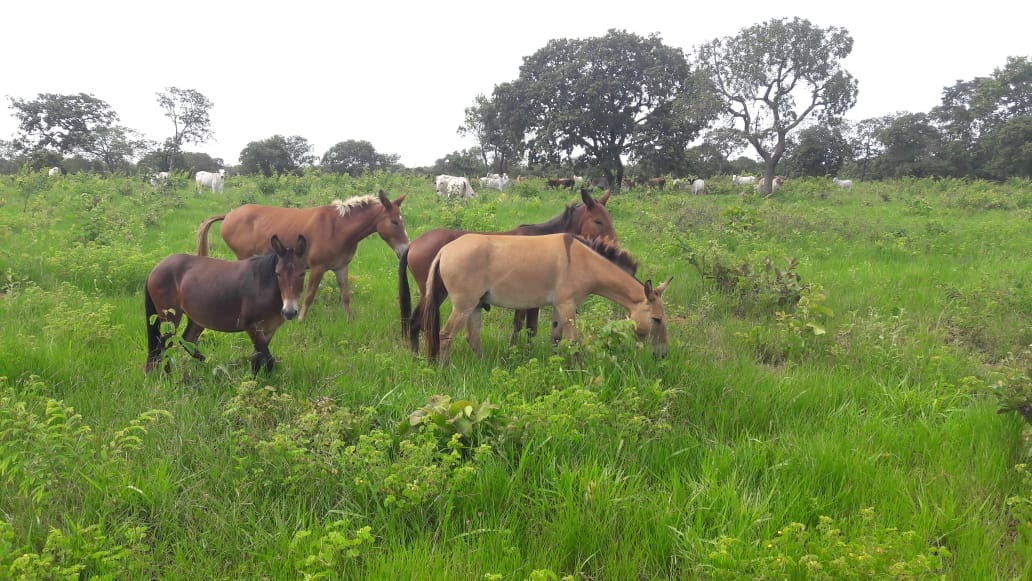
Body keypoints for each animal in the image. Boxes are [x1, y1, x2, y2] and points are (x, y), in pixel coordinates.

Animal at [145, 234, 307, 375]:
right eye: (278, 273)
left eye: (302, 274)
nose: (289, 312)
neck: (263, 286)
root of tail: (157, 268)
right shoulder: (251, 326)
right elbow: (267, 359)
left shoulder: (268, 330)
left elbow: (258, 359)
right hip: (170, 318)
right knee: (164, 346)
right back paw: (168, 376)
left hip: (197, 319)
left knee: (187, 341)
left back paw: (210, 366)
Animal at [195, 190, 408, 319]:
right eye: (394, 222)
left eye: (402, 220)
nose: (405, 250)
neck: (338, 228)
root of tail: (228, 215)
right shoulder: (317, 268)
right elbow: (309, 296)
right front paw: (300, 319)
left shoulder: (341, 267)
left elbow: (346, 295)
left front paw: (350, 320)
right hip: (243, 255)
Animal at [398, 190, 610, 352]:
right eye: (598, 221)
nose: (611, 246)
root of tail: (413, 245)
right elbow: (529, 327)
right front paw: (523, 353)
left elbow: (519, 325)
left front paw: (514, 350)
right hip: (433, 293)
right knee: (416, 322)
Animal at [423, 232, 672, 363]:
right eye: (657, 319)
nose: (663, 355)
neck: (585, 262)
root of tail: (445, 249)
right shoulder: (568, 305)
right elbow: (573, 340)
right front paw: (578, 371)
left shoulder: (558, 307)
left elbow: (556, 337)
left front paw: (556, 364)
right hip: (463, 305)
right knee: (446, 334)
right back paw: (446, 370)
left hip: (475, 305)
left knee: (472, 337)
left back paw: (485, 366)